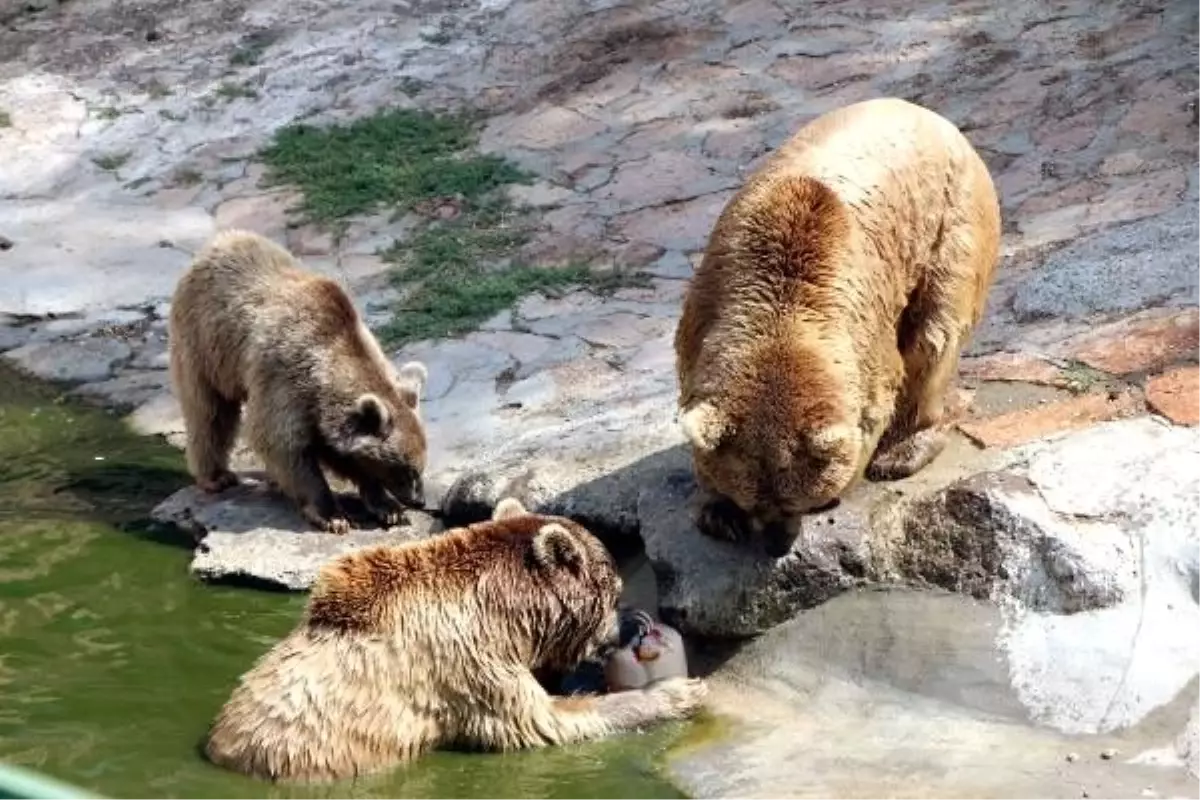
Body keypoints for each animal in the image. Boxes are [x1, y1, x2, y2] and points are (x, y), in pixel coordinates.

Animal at [168, 227, 432, 534]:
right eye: (406, 469)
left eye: (420, 465)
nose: (420, 500)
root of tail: (218, 242)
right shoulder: (283, 379)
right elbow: (283, 444)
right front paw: (333, 515)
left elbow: (342, 453)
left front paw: (387, 508)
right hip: (206, 344)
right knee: (209, 412)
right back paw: (216, 476)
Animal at [201, 496, 705, 786]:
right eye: (615, 589)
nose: (632, 622)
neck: (503, 611)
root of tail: (221, 751)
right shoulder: (468, 660)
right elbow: (542, 722)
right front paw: (677, 692)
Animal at [676, 98, 1003, 556]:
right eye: (755, 501)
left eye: (796, 501)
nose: (777, 544)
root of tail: (927, 113)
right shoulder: (706, 308)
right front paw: (719, 513)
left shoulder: (865, 327)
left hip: (952, 225)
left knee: (934, 337)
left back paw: (901, 453)